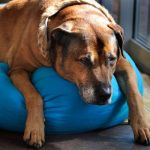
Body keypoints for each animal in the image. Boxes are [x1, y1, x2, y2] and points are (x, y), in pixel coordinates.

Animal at [0, 0, 149, 148]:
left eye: (111, 59)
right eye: (84, 60)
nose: (105, 95)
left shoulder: (124, 64)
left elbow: (134, 93)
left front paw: (142, 126)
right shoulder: (18, 70)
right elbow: (34, 95)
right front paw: (35, 128)